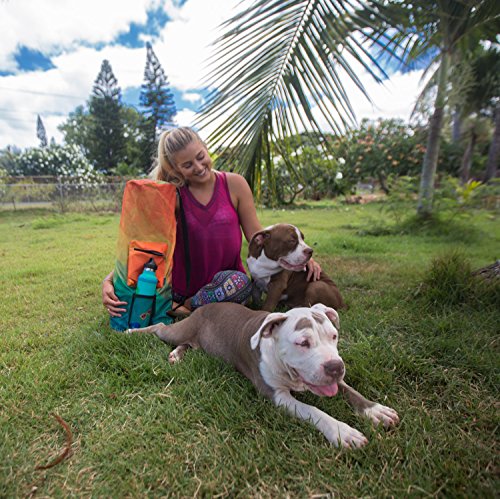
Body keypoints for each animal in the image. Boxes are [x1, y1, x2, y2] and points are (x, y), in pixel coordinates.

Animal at [129, 302, 399, 448]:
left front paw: (375, 411)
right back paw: (131, 331)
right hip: (177, 330)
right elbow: (314, 410)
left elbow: (351, 391)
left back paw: (177, 354)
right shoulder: (278, 396)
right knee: (160, 327)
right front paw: (343, 432)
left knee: (186, 344)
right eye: (303, 343)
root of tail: (201, 306)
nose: (335, 367)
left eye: (334, 336)